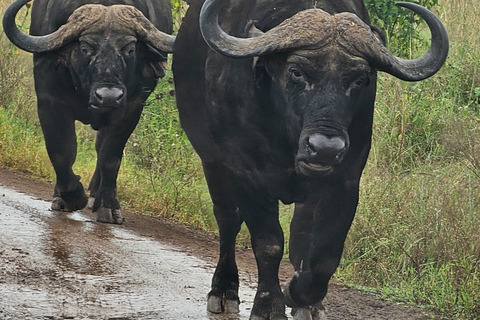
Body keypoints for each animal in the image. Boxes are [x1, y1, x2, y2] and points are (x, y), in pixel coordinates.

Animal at [2, 0, 175, 224]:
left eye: (129, 49)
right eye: (85, 48)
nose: (109, 96)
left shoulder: (131, 108)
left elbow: (110, 157)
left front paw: (108, 205)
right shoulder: (49, 101)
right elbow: (61, 151)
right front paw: (72, 197)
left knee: (101, 149)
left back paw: (96, 195)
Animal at [173, 0, 450, 318]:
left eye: (360, 79)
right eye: (296, 72)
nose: (325, 148)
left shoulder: (344, 182)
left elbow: (322, 255)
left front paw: (299, 295)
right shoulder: (245, 173)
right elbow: (268, 243)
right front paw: (269, 304)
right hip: (212, 162)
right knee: (228, 219)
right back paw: (223, 290)